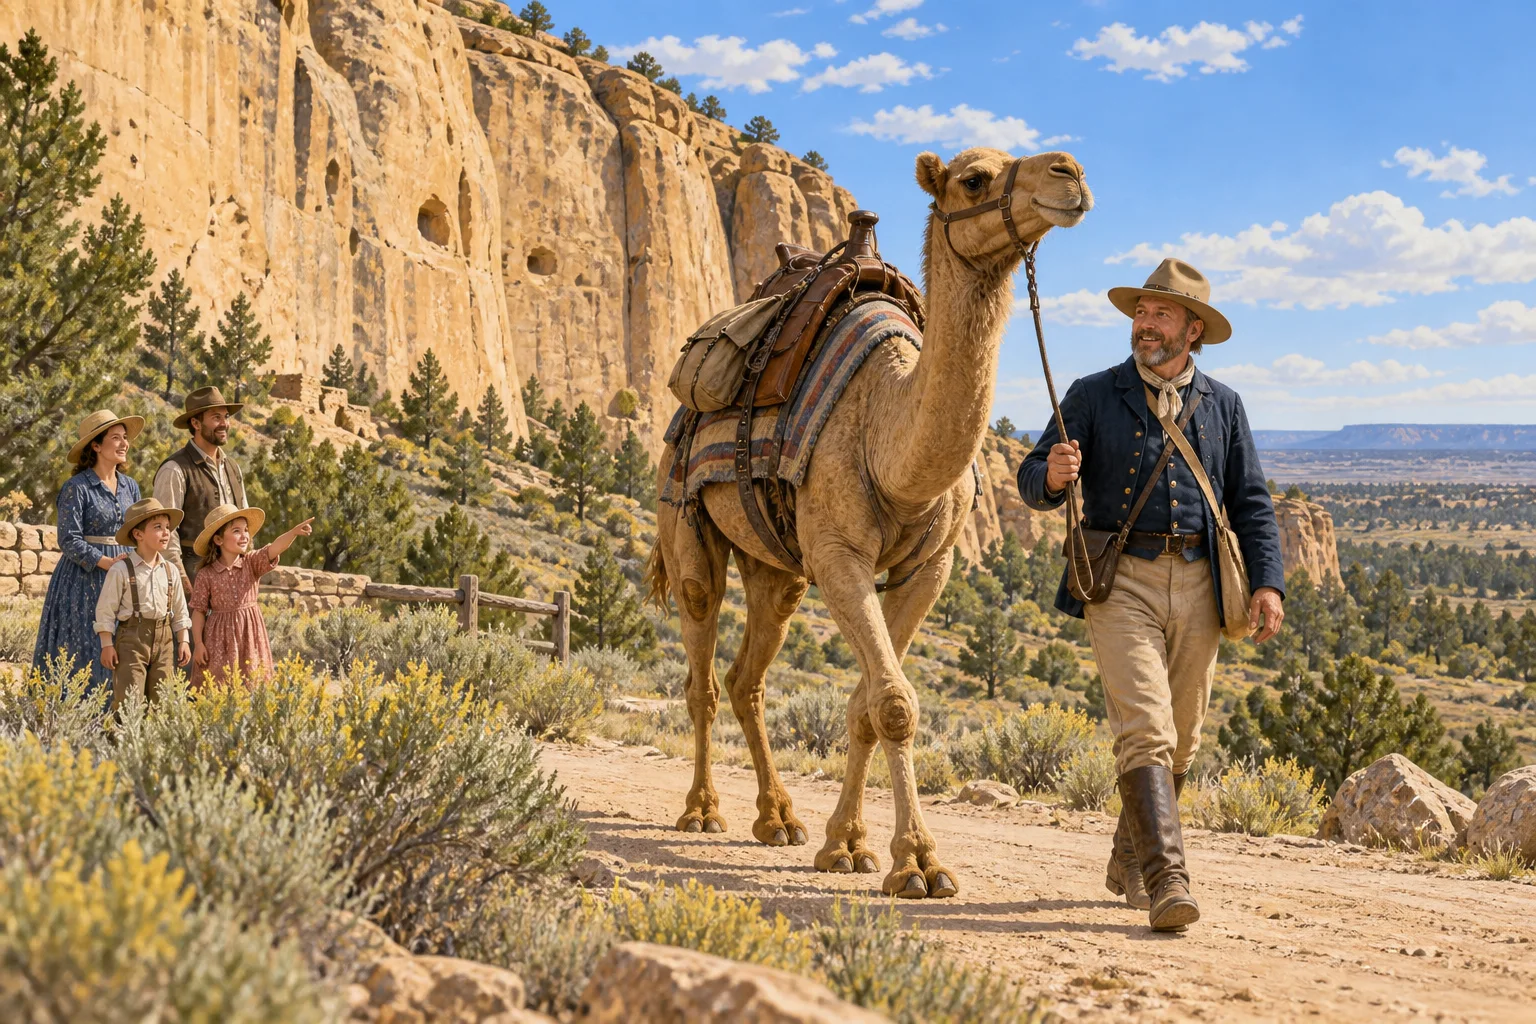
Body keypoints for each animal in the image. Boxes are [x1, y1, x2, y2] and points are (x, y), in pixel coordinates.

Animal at [646, 147, 1093, 898]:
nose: (1070, 173)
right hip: (684, 519)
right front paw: (917, 863)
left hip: (776, 570)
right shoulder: (839, 555)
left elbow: (867, 704)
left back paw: (778, 819)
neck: (889, 433)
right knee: (702, 671)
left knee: (746, 678)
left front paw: (847, 845)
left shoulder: (928, 568)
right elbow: (893, 704)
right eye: (974, 177)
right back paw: (703, 811)